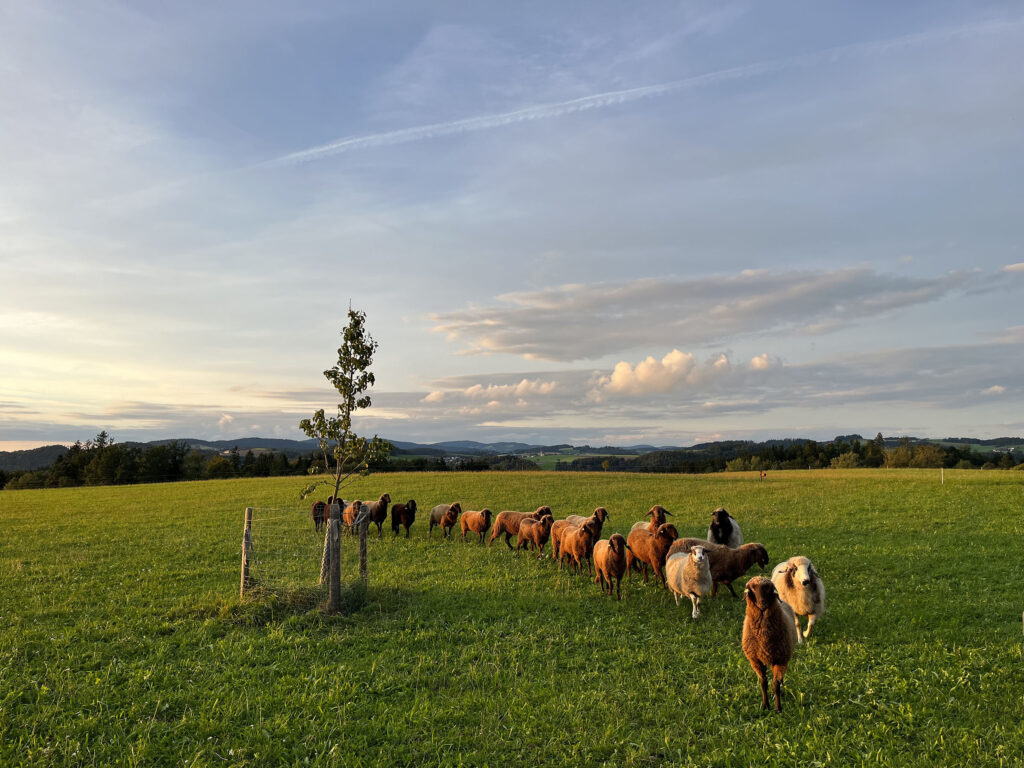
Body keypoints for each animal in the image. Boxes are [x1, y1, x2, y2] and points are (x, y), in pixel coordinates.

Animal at [745, 573, 798, 712]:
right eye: (752, 588)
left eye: (769, 589)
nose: (762, 603)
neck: (764, 638)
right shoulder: (756, 661)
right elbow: (763, 683)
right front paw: (765, 706)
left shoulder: (780, 660)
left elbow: (775, 685)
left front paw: (778, 708)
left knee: (780, 679)